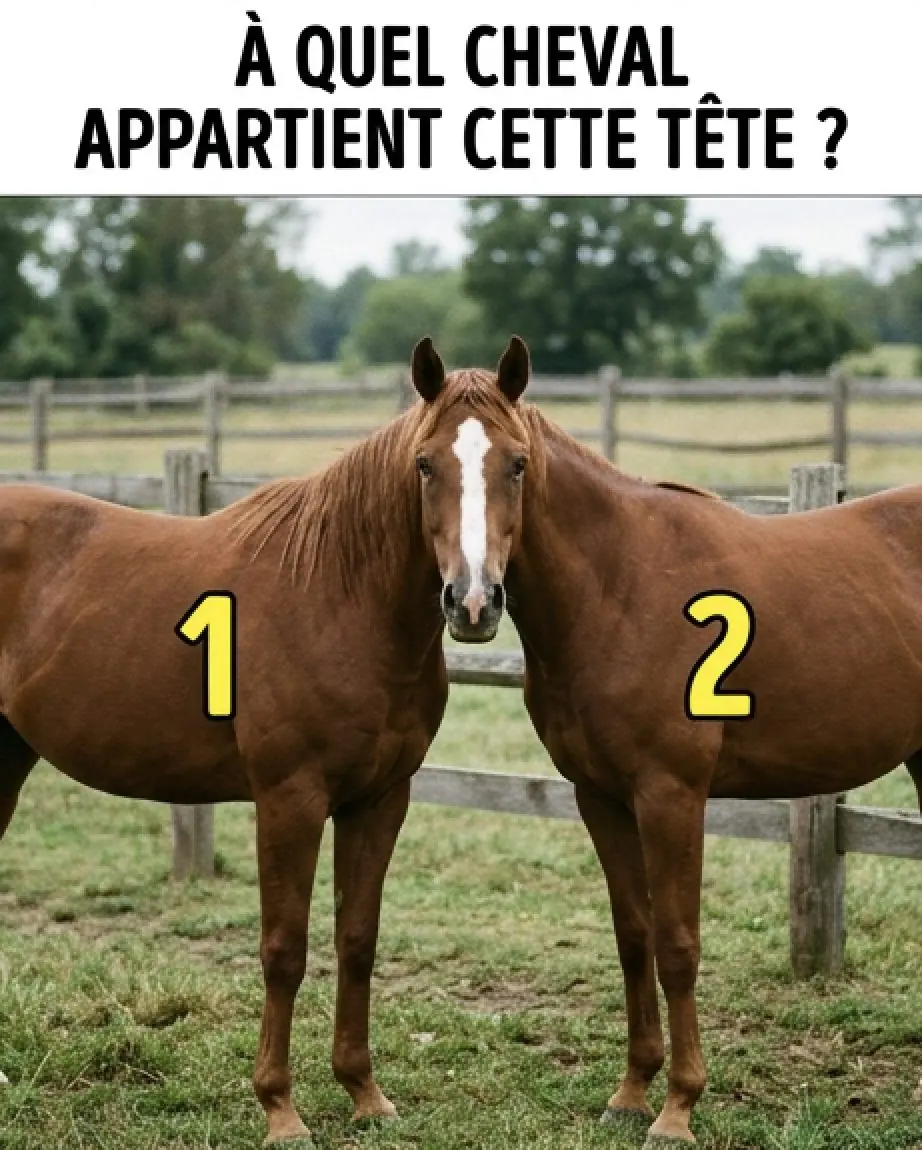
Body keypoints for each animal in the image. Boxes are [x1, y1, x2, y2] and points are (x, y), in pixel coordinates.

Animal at [0, 380, 505, 1146]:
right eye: (424, 464)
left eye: (518, 464)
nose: (472, 602)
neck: (339, 595)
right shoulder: (289, 800)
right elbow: (284, 950)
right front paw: (280, 1108)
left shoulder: (380, 799)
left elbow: (357, 939)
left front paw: (364, 1093)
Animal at [412, 336, 922, 1146]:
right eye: (426, 463)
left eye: (516, 463)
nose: (472, 602)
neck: (619, 587)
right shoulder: (601, 797)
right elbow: (635, 937)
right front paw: (631, 1092)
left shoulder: (671, 796)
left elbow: (678, 945)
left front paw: (679, 1106)